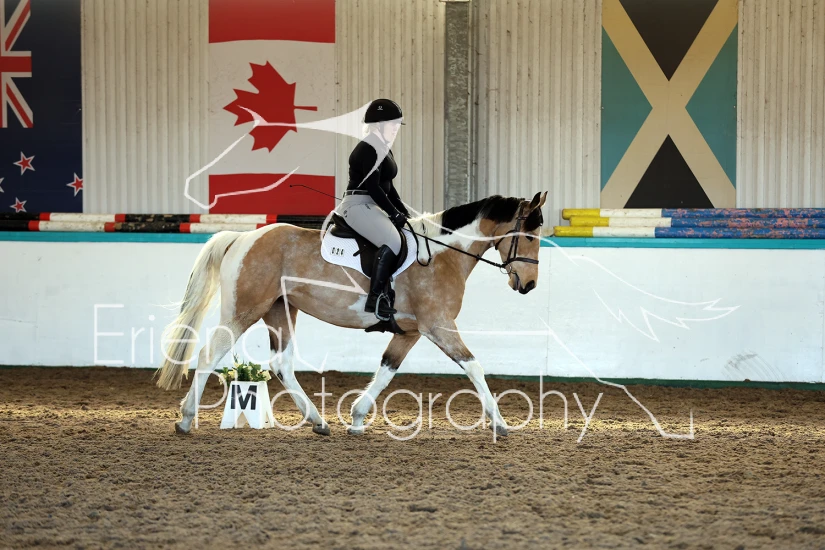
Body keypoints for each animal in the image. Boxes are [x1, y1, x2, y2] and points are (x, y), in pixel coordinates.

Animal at [156, 191, 548, 436]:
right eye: (529, 236)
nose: (529, 284)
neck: (441, 255)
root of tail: (241, 238)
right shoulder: (439, 326)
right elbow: (474, 367)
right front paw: (500, 424)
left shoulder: (410, 331)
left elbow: (387, 371)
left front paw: (357, 419)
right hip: (244, 310)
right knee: (210, 355)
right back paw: (186, 420)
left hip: (280, 311)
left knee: (281, 364)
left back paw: (318, 422)